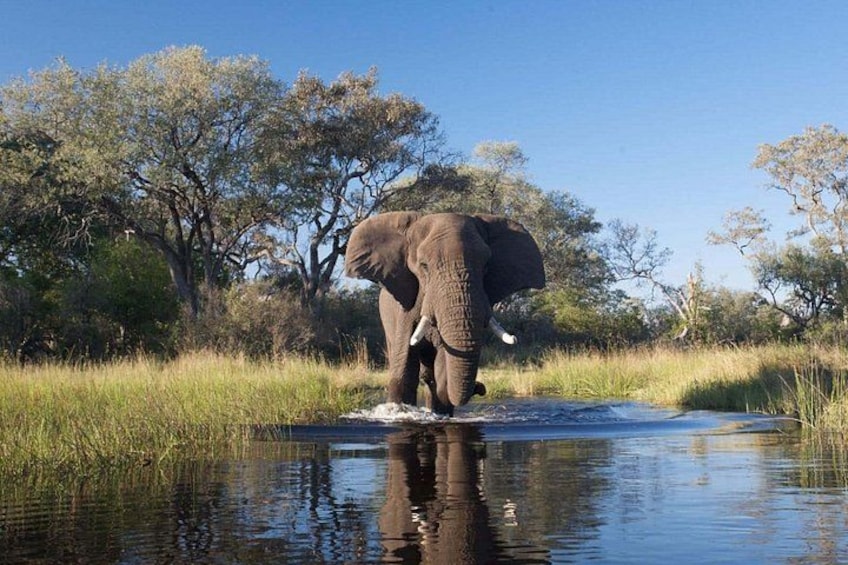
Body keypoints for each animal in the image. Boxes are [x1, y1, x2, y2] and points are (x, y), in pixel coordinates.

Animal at [344, 211, 545, 415]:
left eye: (486, 267)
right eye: (424, 266)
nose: (480, 388)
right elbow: (405, 370)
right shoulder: (405, 307)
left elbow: (442, 363)